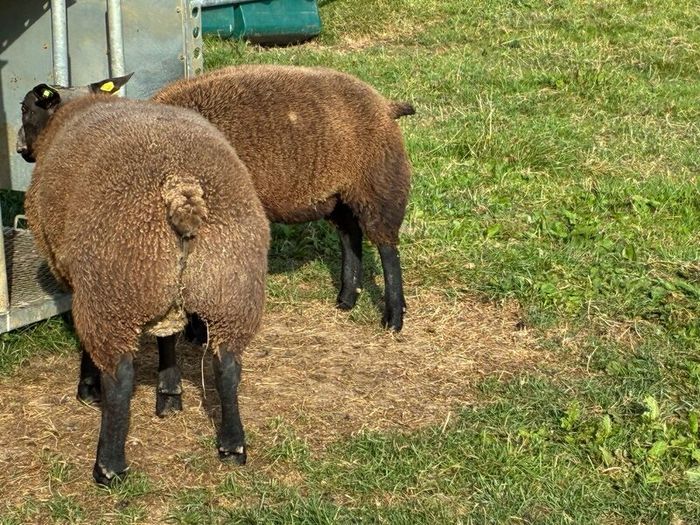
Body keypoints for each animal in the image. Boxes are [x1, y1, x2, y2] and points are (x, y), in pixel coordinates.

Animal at [16, 77, 270, 485]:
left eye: (25, 108)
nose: (20, 145)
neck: (72, 109)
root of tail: (182, 192)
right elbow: (167, 336)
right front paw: (169, 393)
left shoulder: (72, 273)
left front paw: (89, 387)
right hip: (228, 286)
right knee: (227, 365)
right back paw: (232, 445)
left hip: (114, 287)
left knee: (119, 376)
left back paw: (108, 466)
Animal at [153, 64, 415, 332]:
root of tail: (384, 104)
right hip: (338, 196)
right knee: (350, 235)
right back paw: (347, 299)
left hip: (379, 184)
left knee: (387, 248)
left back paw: (394, 317)